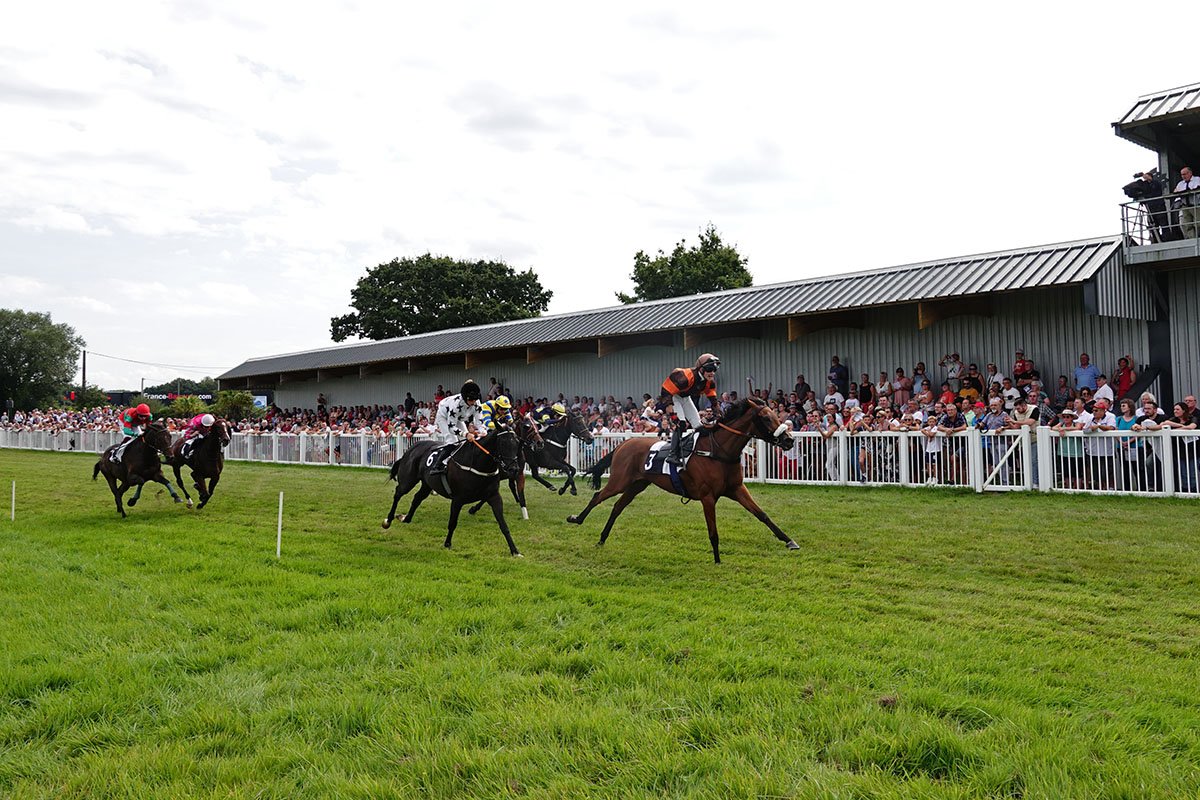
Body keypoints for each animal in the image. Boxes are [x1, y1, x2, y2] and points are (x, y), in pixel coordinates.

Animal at [381, 428, 525, 556]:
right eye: (503, 443)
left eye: (517, 443)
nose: (514, 469)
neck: (479, 464)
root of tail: (412, 448)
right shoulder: (457, 499)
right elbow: (452, 523)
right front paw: (447, 544)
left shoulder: (494, 496)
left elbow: (503, 525)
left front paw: (515, 551)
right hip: (408, 480)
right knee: (398, 493)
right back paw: (388, 520)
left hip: (427, 484)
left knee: (417, 498)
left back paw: (405, 518)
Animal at [566, 397, 799, 563]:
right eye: (766, 418)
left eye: (776, 415)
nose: (789, 440)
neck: (718, 452)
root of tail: (624, 443)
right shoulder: (707, 496)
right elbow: (713, 531)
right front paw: (717, 560)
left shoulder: (737, 489)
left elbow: (762, 515)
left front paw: (789, 541)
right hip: (620, 481)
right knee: (598, 497)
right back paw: (577, 519)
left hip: (637, 485)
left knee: (617, 507)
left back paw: (602, 538)